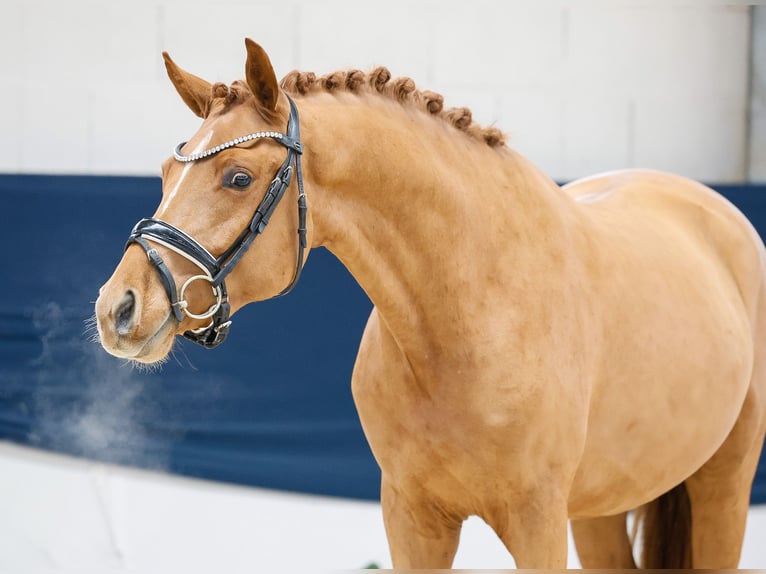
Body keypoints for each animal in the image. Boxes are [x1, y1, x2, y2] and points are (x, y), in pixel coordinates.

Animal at [96, 38, 766, 568]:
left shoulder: (538, 522)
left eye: (238, 177)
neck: (471, 318)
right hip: (602, 506)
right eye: (164, 173)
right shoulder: (412, 517)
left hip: (723, 486)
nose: (118, 309)